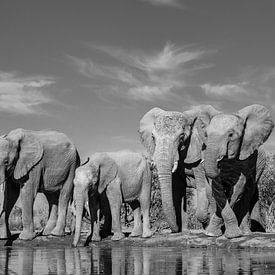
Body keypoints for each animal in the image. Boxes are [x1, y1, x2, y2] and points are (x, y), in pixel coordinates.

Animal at [139, 105, 219, 233]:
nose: (174, 229)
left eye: (181, 137)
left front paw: (204, 221)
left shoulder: (199, 150)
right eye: (153, 137)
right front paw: (183, 231)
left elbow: (203, 185)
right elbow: (177, 189)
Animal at [201, 104, 275, 238]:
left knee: (248, 193)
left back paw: (245, 232)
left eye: (230, 135)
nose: (218, 165)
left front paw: (232, 235)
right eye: (206, 134)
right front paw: (212, 233)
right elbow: (216, 188)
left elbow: (238, 188)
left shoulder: (246, 158)